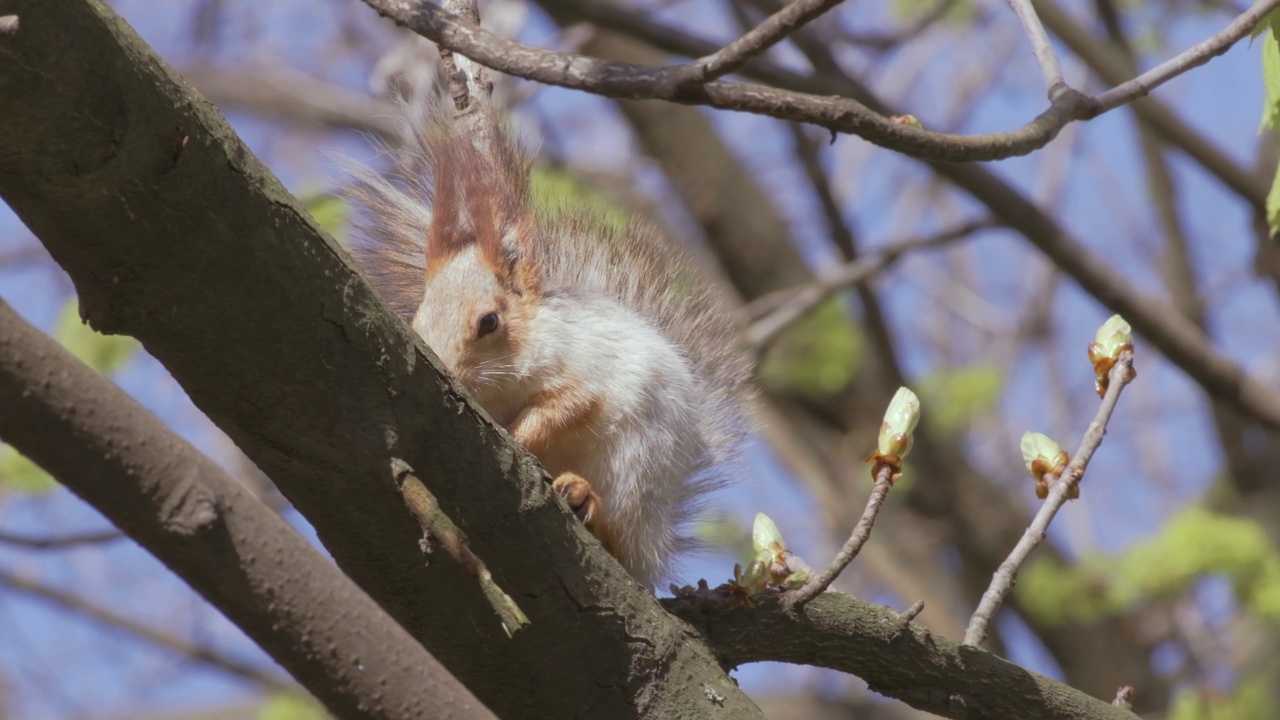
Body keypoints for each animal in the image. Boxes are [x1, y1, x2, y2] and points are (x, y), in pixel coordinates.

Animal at [345, 103, 752, 586]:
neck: (501, 384)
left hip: (634, 476)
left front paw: (517, 434)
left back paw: (584, 498)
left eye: (489, 322)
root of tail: (655, 541)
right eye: (418, 323)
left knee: (618, 541)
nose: (448, 370)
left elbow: (569, 406)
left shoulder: (591, 370)